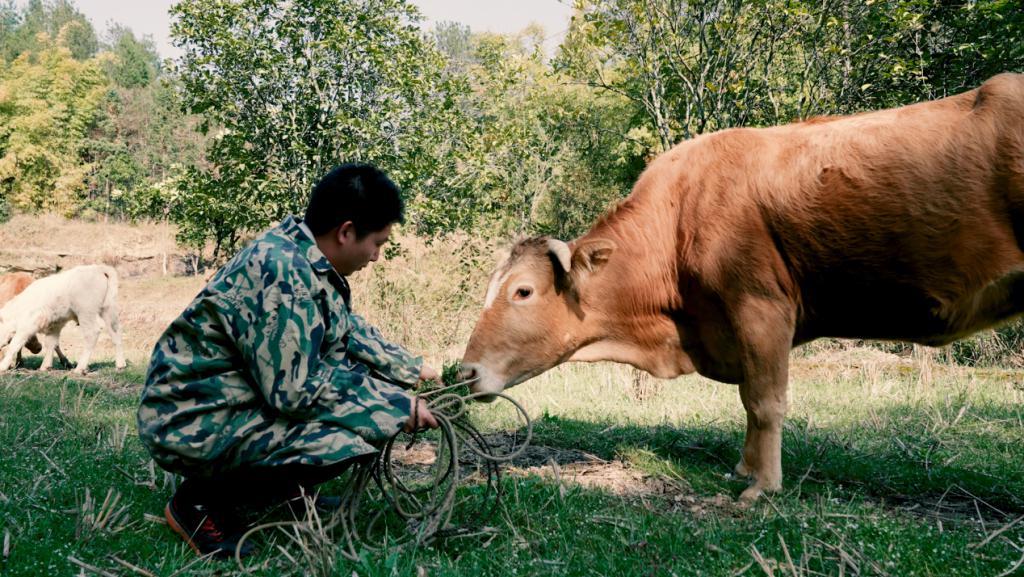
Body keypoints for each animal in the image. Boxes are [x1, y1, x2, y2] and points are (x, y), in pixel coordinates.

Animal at [464, 74, 1024, 504]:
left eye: (522, 292)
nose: (461, 371)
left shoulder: (760, 305)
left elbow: (764, 400)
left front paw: (761, 487)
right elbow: (749, 400)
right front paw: (745, 469)